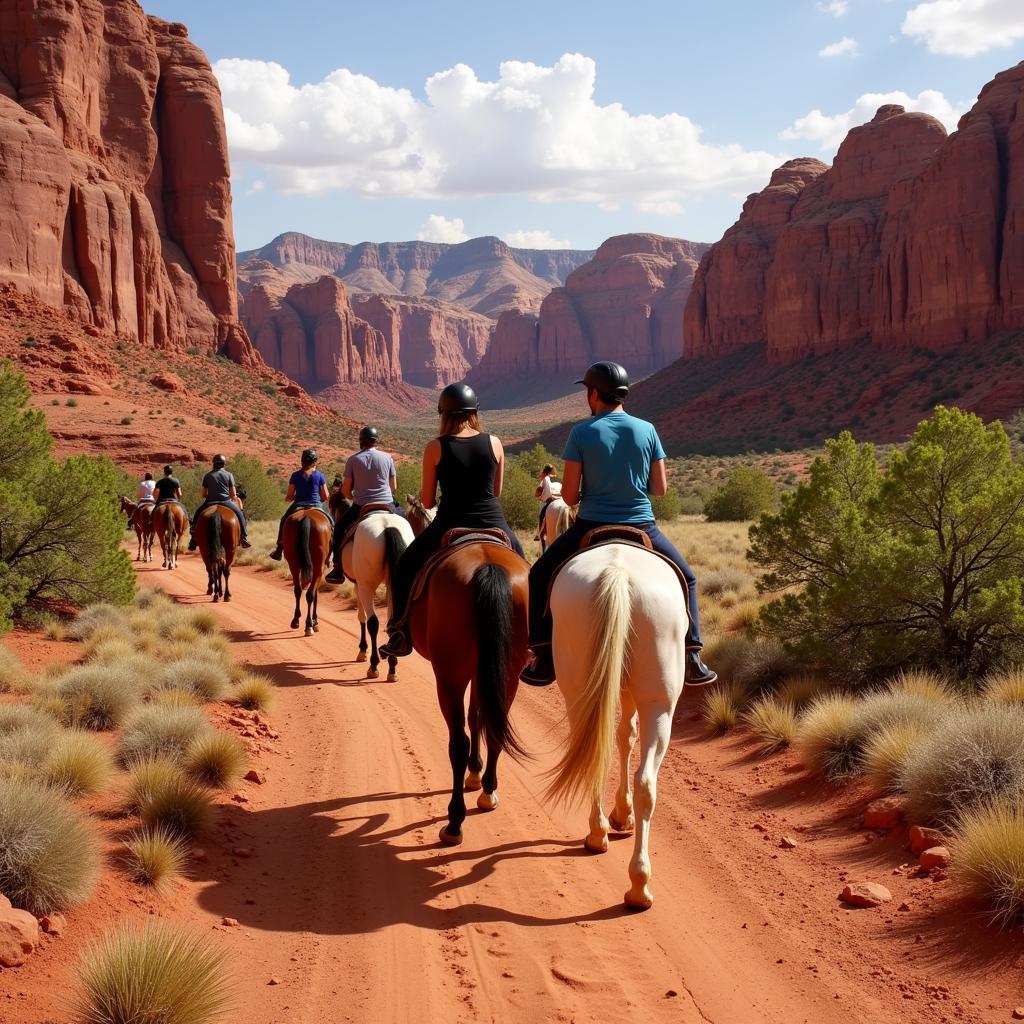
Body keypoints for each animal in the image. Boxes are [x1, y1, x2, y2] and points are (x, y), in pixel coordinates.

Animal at [337, 503, 413, 679]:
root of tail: (387, 527)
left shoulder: (359, 584)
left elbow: (361, 616)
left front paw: (362, 651)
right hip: (392, 585)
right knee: (391, 623)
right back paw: (392, 668)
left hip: (366, 585)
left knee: (373, 622)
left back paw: (373, 666)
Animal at [401, 497, 528, 847]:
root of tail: (488, 565)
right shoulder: (482, 670)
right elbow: (478, 716)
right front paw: (477, 773)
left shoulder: (462, 672)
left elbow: (470, 721)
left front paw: (472, 772)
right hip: (508, 673)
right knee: (495, 727)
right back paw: (488, 793)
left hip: (449, 677)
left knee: (456, 741)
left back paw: (454, 822)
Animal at [548, 540, 684, 909]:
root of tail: (618, 574)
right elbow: (627, 736)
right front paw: (621, 814)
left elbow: (625, 736)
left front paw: (620, 814)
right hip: (658, 705)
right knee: (642, 780)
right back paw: (635, 881)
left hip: (586, 693)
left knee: (607, 762)